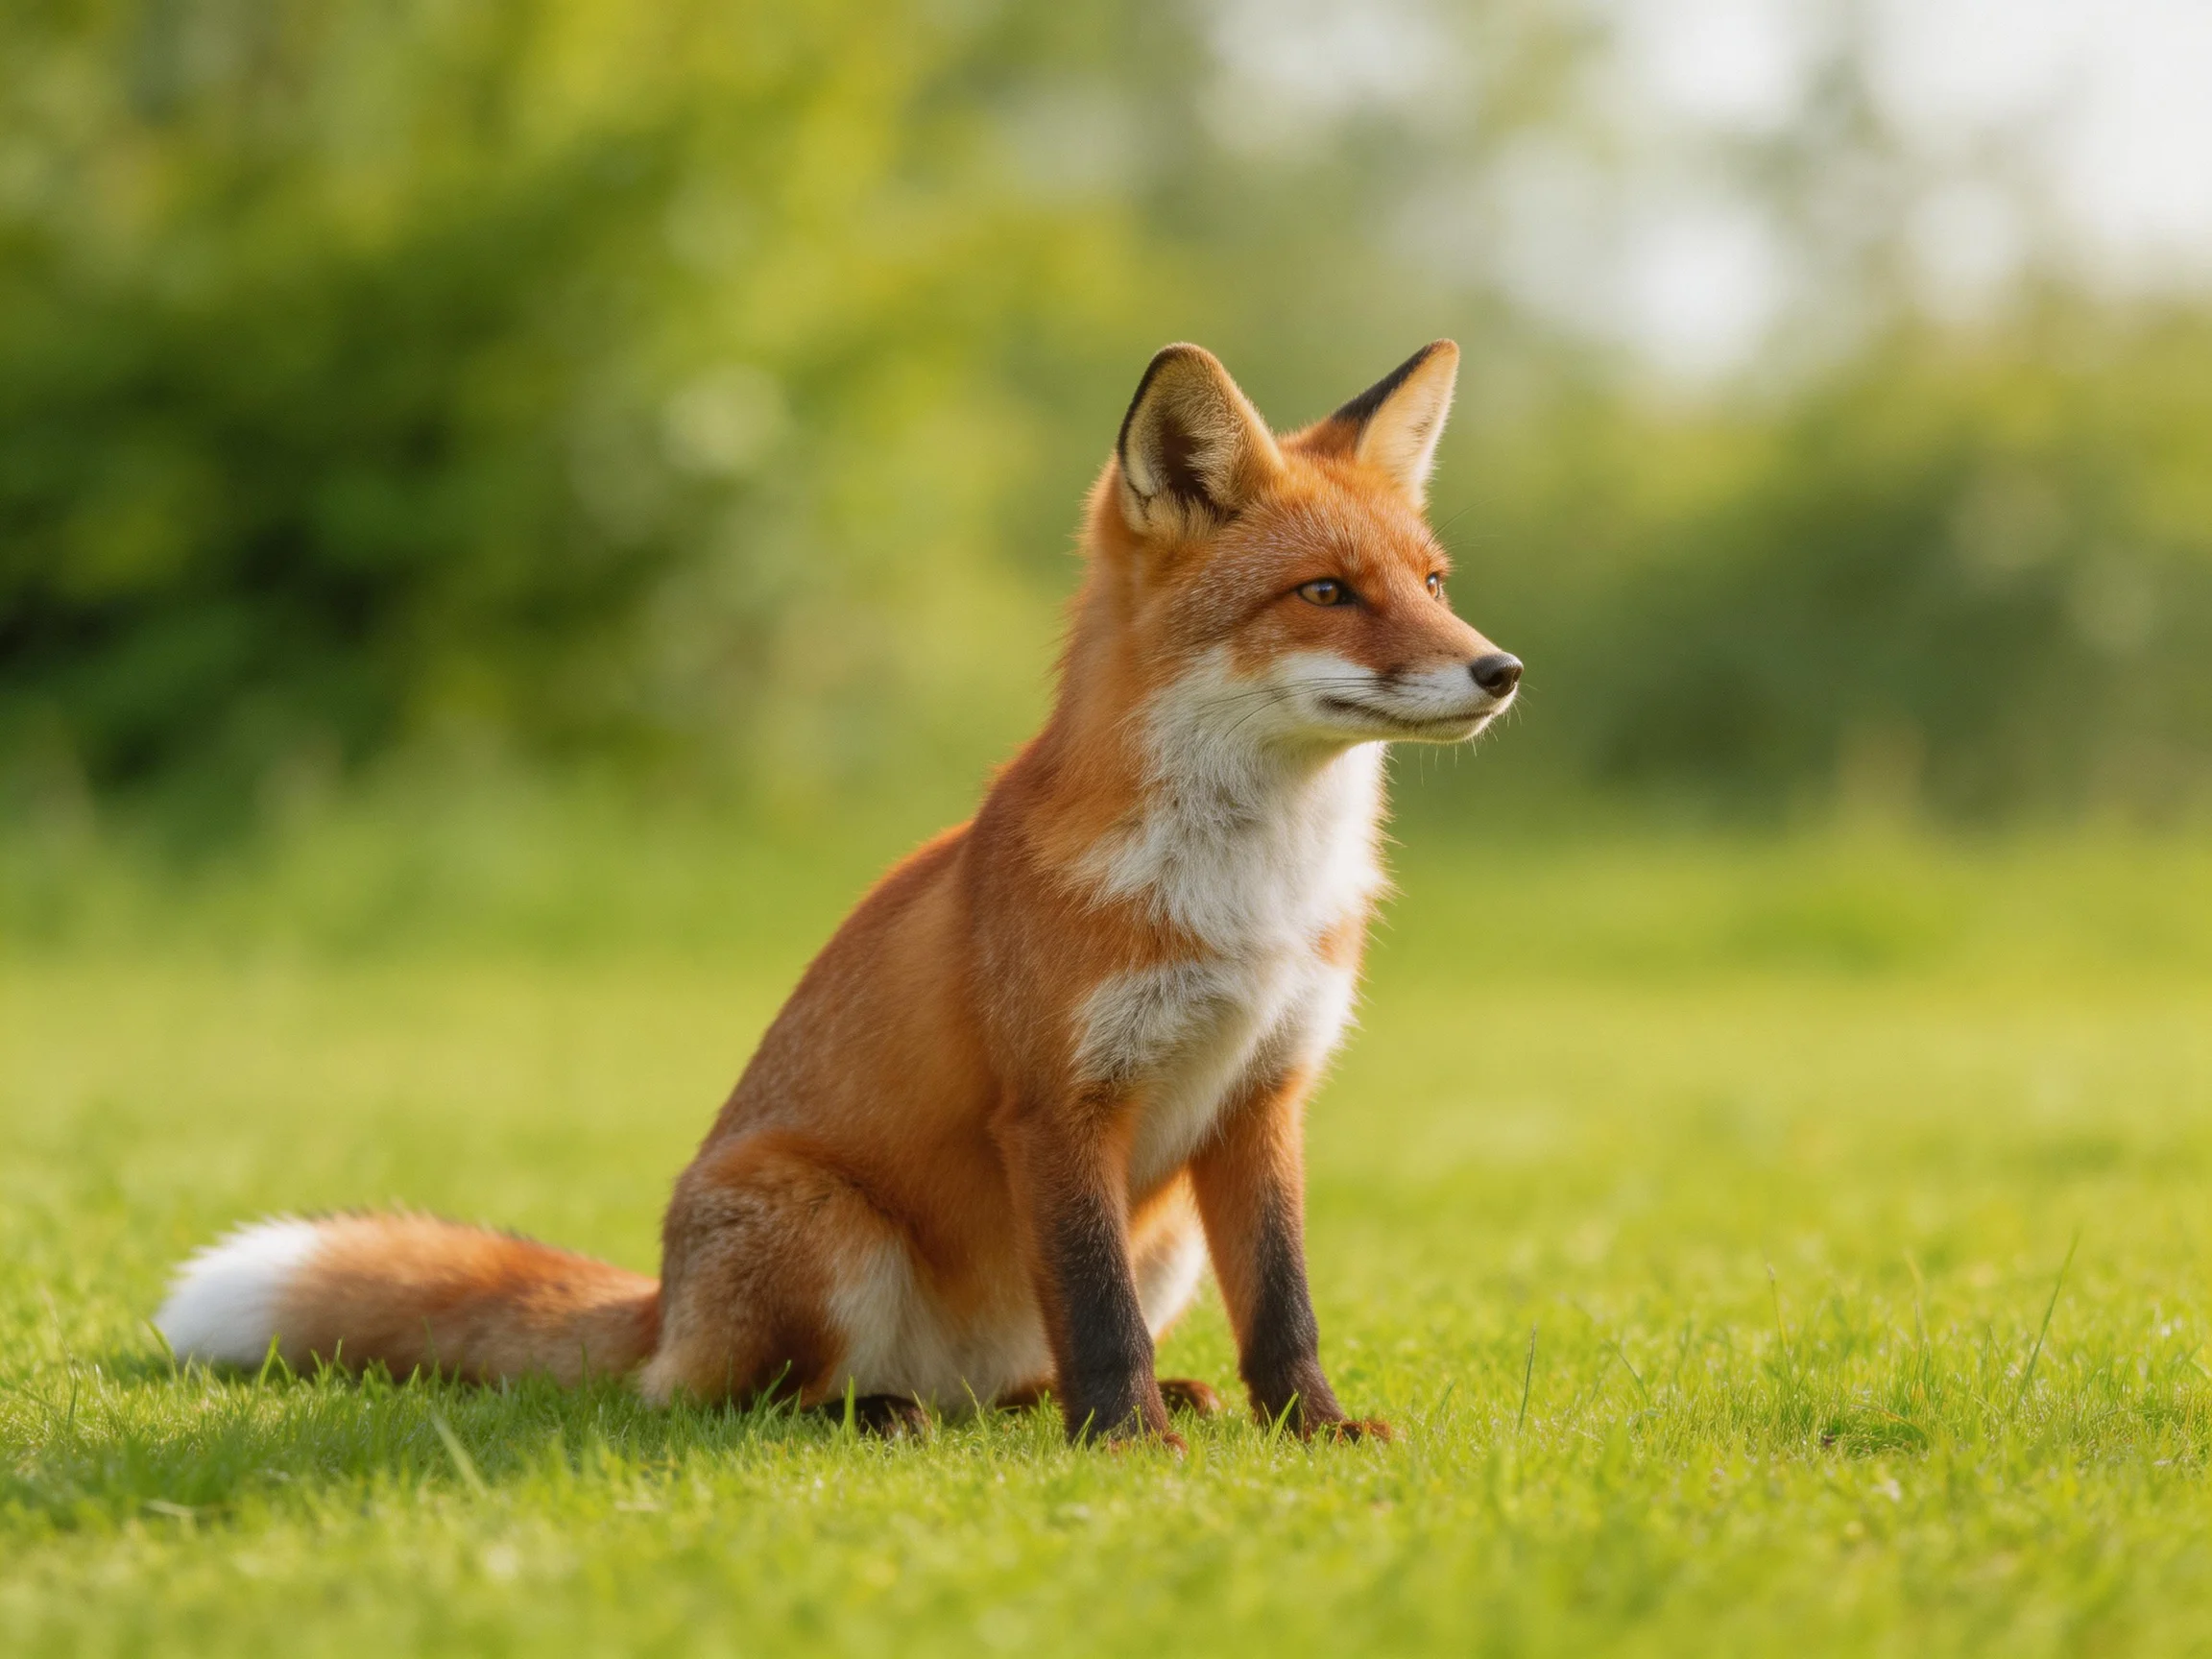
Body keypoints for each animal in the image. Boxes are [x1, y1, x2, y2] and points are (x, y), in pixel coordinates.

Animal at [155, 340, 1521, 1448]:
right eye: (1327, 593)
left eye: (1434, 585)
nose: (1499, 670)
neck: (1253, 896)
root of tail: (661, 1306)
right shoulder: (1056, 1105)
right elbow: (1098, 1313)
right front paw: (1130, 1444)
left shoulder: (1262, 1098)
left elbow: (1282, 1310)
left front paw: (1311, 1432)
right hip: (824, 1227)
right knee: (721, 1402)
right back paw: (875, 1413)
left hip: (1164, 1232)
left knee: (1000, 1388)